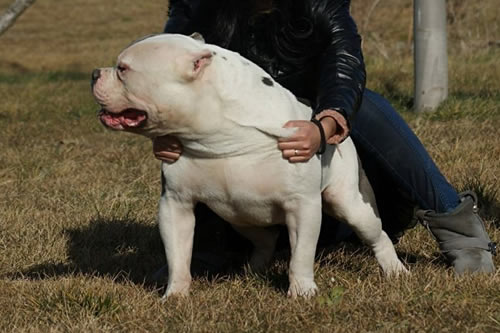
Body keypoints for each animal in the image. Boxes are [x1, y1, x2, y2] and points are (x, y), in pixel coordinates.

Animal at [93, 33, 406, 296]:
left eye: (123, 69)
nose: (95, 73)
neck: (219, 133)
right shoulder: (174, 204)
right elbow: (178, 256)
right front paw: (175, 295)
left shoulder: (302, 206)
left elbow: (301, 255)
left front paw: (302, 292)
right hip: (239, 215)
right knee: (266, 239)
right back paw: (252, 270)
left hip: (351, 204)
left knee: (376, 235)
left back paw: (395, 270)